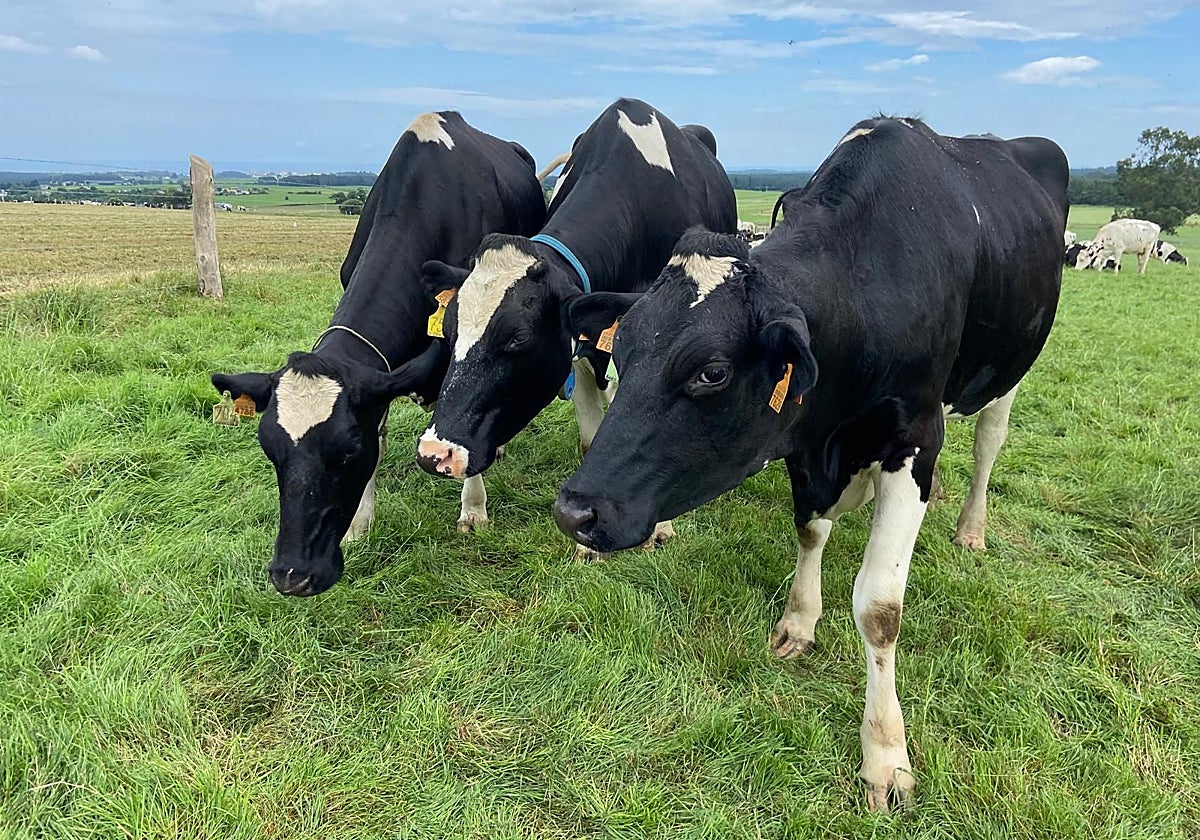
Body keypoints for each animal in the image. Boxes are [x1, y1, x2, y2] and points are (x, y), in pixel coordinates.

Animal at [209, 112, 546, 597]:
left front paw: (473, 510)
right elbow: (383, 432)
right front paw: (361, 522)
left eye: (348, 452)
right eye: (270, 450)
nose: (292, 576)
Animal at [414, 97, 737, 548]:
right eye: (449, 332)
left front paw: (659, 526)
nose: (435, 453)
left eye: (518, 338)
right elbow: (590, 436)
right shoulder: (583, 344)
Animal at [552, 118, 1068, 810]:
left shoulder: (913, 438)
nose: (573, 510)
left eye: (711, 372)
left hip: (1009, 371)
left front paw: (885, 754)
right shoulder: (805, 438)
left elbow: (879, 608)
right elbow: (810, 530)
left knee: (990, 441)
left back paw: (971, 527)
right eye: (624, 347)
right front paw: (798, 621)